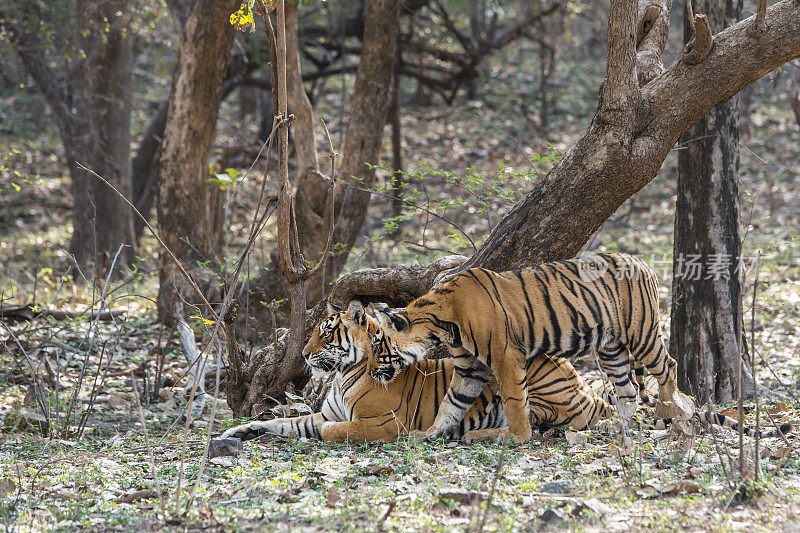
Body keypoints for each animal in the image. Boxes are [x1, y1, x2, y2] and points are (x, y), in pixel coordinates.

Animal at [372, 251, 696, 442]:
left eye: (377, 346)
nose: (373, 373)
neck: (443, 324)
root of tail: (642, 262)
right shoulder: (468, 368)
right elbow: (451, 403)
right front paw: (429, 433)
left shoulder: (506, 357)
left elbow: (515, 401)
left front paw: (519, 437)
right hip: (611, 347)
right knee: (627, 390)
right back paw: (616, 427)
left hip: (642, 333)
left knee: (668, 367)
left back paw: (668, 416)